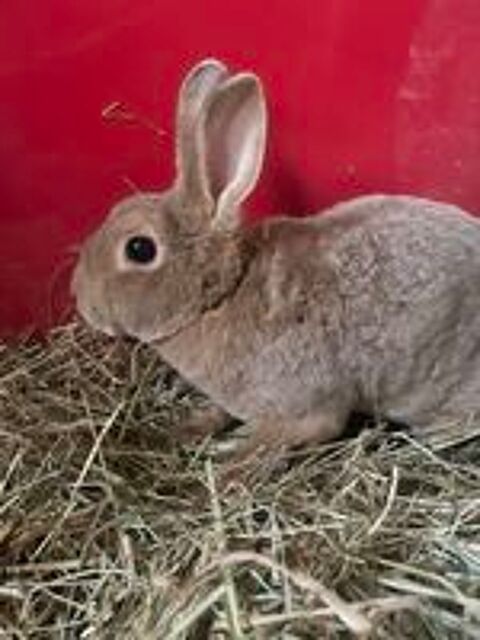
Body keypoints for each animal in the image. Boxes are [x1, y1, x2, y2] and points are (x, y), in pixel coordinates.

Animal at [72, 58, 480, 472]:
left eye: (139, 249)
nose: (81, 300)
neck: (223, 296)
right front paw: (188, 428)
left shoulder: (304, 409)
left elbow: (278, 440)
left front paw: (229, 463)